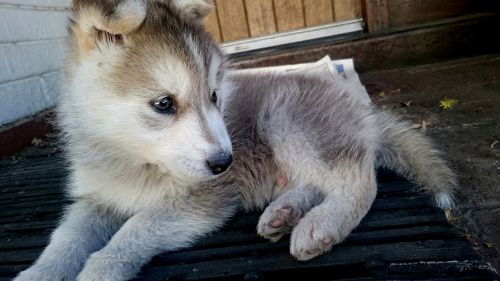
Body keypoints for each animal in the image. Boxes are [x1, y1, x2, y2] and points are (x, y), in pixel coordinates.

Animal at [13, 0, 458, 280]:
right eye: (163, 103)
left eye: (214, 95)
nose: (225, 163)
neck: (134, 160)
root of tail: (362, 110)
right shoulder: (96, 200)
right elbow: (64, 238)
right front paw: (40, 272)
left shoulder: (200, 200)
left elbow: (136, 227)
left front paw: (101, 267)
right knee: (315, 182)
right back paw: (284, 213)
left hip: (288, 121)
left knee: (358, 180)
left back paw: (321, 225)